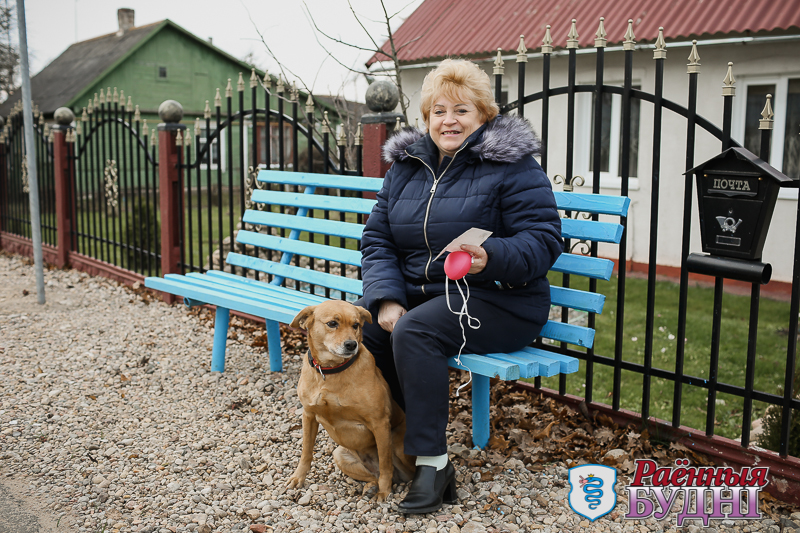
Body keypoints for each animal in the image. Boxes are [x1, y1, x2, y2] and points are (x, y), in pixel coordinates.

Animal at [286, 300, 412, 498]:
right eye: (332, 323)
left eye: (356, 325)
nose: (351, 344)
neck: (331, 371)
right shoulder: (308, 415)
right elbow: (306, 451)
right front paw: (298, 477)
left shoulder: (380, 423)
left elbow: (385, 463)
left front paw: (384, 492)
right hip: (340, 455)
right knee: (374, 475)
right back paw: (371, 487)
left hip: (398, 446)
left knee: (398, 469)